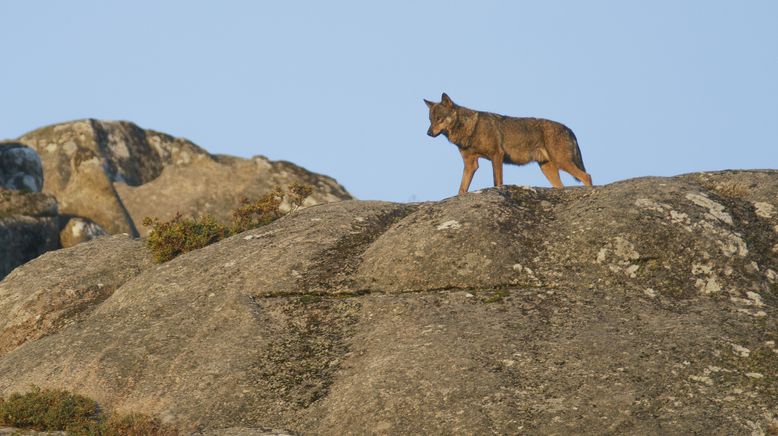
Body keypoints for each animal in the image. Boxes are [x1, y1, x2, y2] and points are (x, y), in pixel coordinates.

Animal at [424, 93, 588, 193]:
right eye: (430, 120)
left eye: (439, 119)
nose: (428, 133)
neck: (471, 128)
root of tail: (568, 129)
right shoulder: (470, 165)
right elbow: (461, 189)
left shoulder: (497, 155)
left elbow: (497, 182)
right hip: (548, 169)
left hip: (562, 163)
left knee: (587, 176)